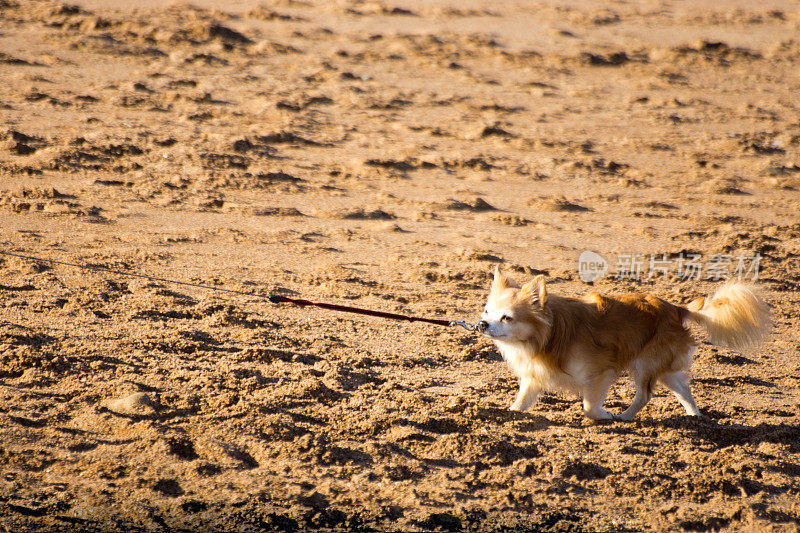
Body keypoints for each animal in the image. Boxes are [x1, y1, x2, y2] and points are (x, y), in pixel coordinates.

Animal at [478, 266, 772, 420]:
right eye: (486, 312)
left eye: (507, 318)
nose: (482, 325)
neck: (544, 338)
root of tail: (677, 309)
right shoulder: (533, 376)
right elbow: (523, 400)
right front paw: (511, 414)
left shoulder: (600, 372)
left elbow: (589, 406)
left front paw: (604, 415)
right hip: (663, 368)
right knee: (683, 389)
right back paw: (694, 417)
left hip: (644, 364)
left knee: (644, 395)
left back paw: (625, 416)